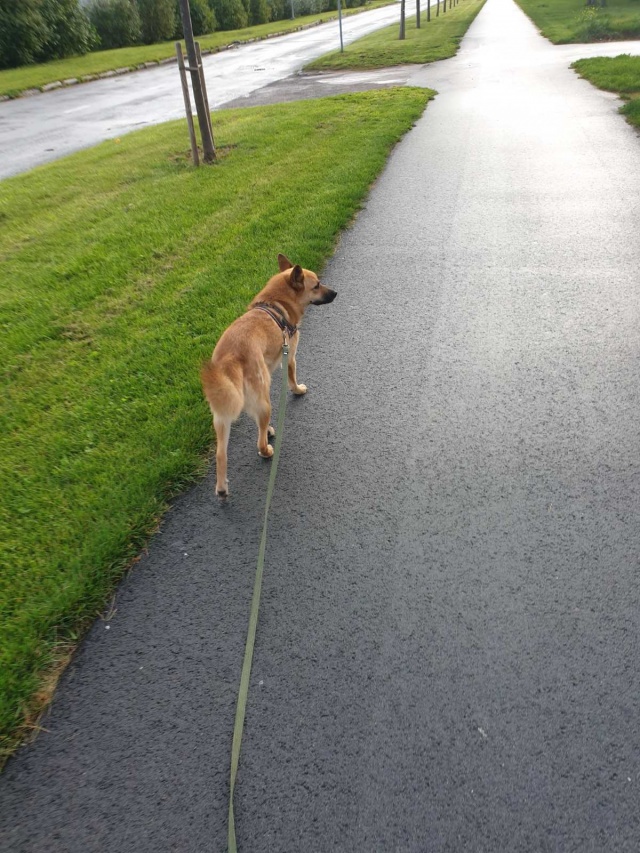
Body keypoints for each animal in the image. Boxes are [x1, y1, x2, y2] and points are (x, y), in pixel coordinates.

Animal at [201, 254, 337, 498]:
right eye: (317, 285)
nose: (336, 293)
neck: (277, 304)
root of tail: (229, 358)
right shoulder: (290, 355)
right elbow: (292, 378)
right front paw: (298, 390)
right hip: (265, 401)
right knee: (259, 441)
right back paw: (267, 448)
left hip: (222, 415)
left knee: (221, 452)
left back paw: (222, 487)